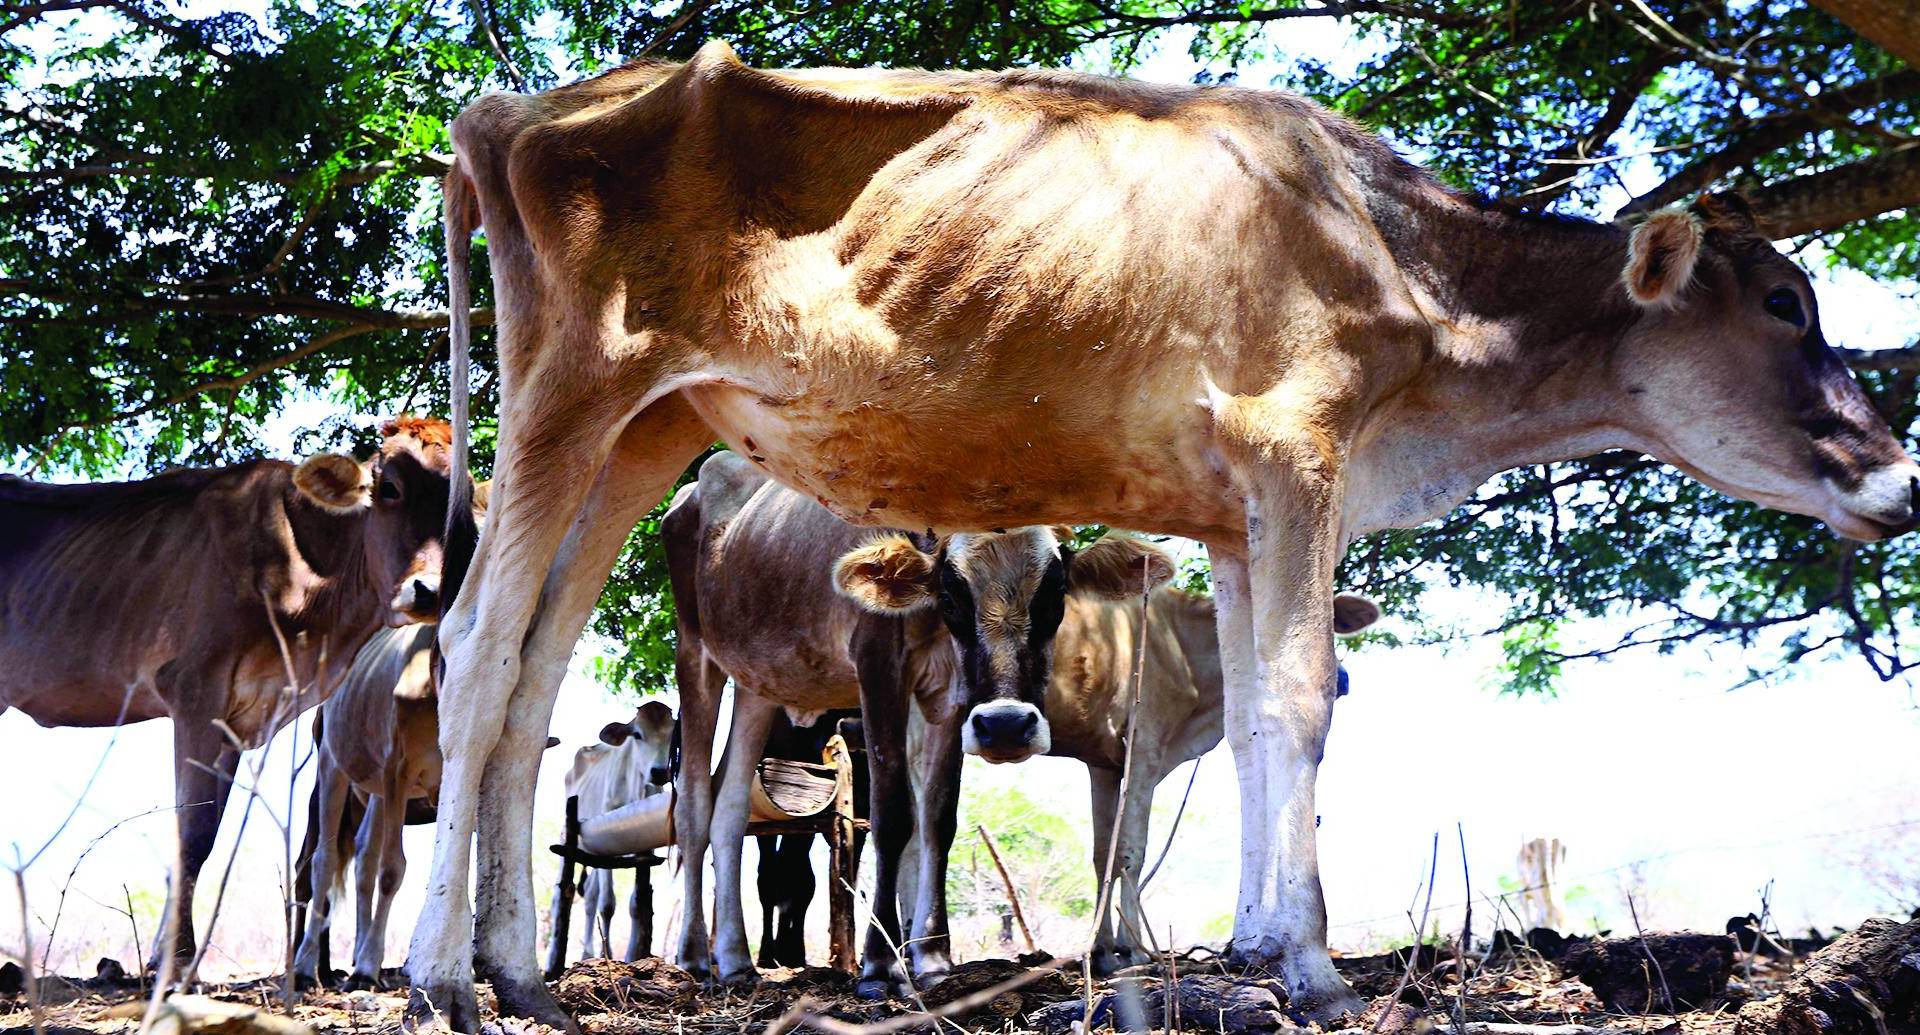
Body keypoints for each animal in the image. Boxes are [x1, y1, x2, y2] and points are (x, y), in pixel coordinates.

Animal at [1, 416, 455, 973]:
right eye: (389, 488)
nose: (431, 590)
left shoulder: (239, 719)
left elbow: (209, 831)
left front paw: (175, 953)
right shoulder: (195, 690)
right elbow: (192, 833)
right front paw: (173, 959)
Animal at [545, 700, 677, 974]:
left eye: (672, 734)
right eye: (637, 734)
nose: (660, 772)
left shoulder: (644, 847)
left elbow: (637, 901)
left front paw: (633, 954)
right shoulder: (607, 844)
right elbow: (607, 905)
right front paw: (607, 955)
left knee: (589, 896)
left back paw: (588, 952)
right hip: (570, 840)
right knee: (564, 894)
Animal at [661, 451, 1172, 997]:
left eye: (1055, 595)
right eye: (950, 595)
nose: (1006, 726)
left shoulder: (950, 700)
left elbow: (937, 821)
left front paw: (933, 958)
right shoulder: (879, 666)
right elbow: (894, 817)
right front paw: (880, 966)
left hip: (757, 683)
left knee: (730, 809)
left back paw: (735, 959)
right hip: (695, 656)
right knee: (694, 807)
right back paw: (694, 955)